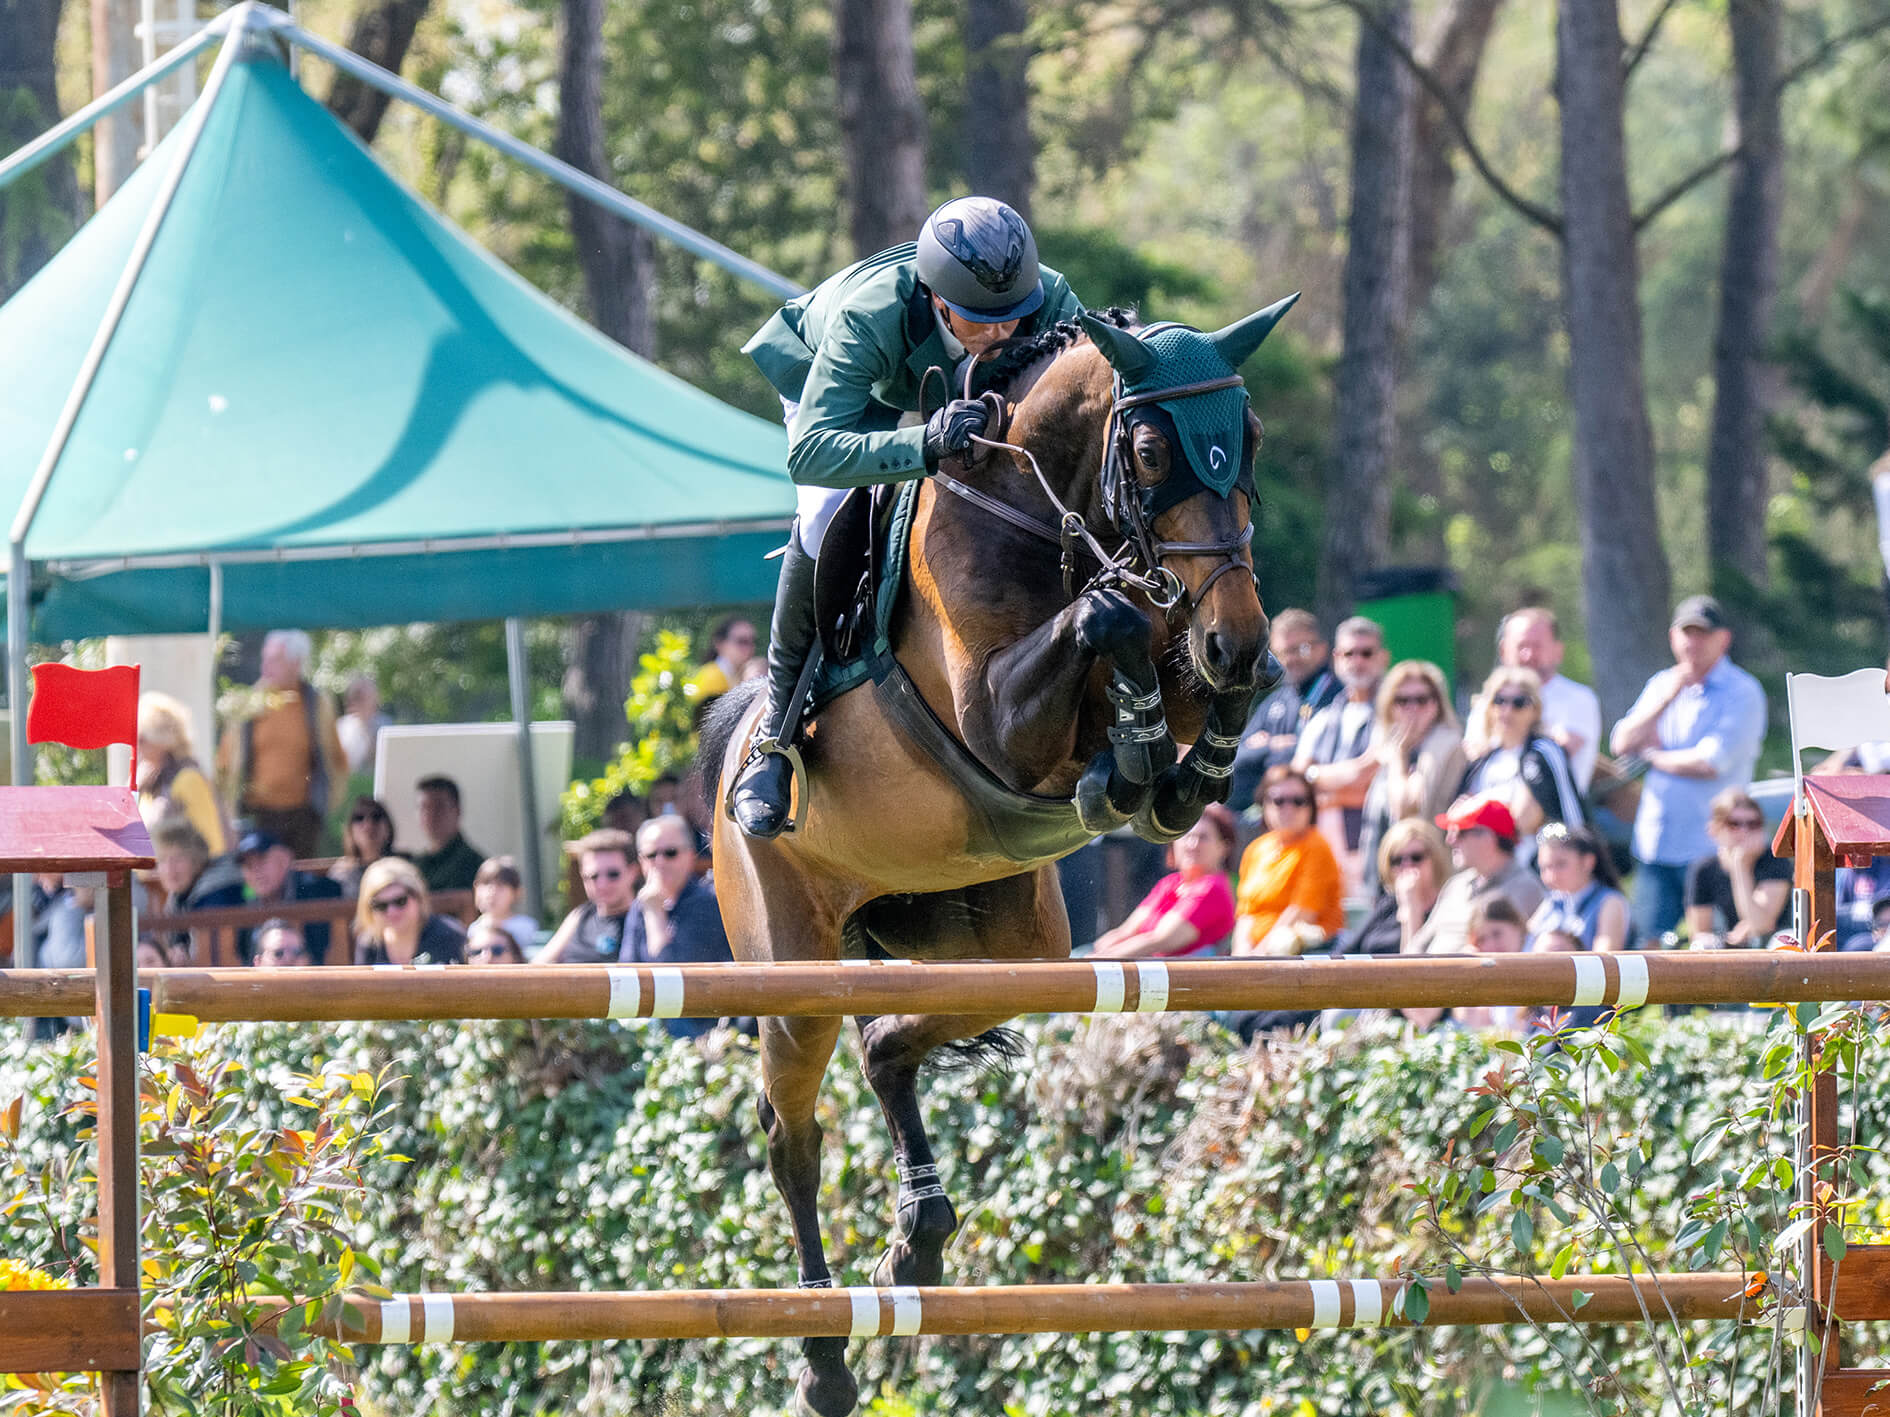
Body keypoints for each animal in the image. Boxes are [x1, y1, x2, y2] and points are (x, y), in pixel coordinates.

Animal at [706, 294, 1300, 1413]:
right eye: (1149, 451)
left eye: (1247, 441)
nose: (1235, 636)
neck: (1044, 514)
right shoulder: (996, 717)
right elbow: (1108, 623)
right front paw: (1133, 756)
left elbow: (1200, 678)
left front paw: (1174, 768)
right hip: (794, 963)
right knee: (791, 1134)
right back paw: (823, 1353)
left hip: (1011, 942)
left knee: (889, 1044)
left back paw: (920, 1236)